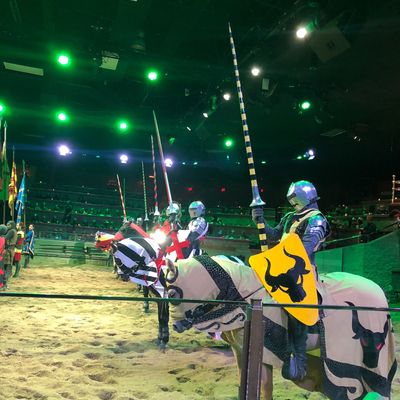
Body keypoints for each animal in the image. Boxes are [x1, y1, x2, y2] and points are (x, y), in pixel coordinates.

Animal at [165, 255, 397, 400]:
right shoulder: (241, 352)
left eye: (173, 293)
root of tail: (379, 291)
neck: (247, 298)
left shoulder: (263, 354)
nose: (175, 325)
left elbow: (262, 388)